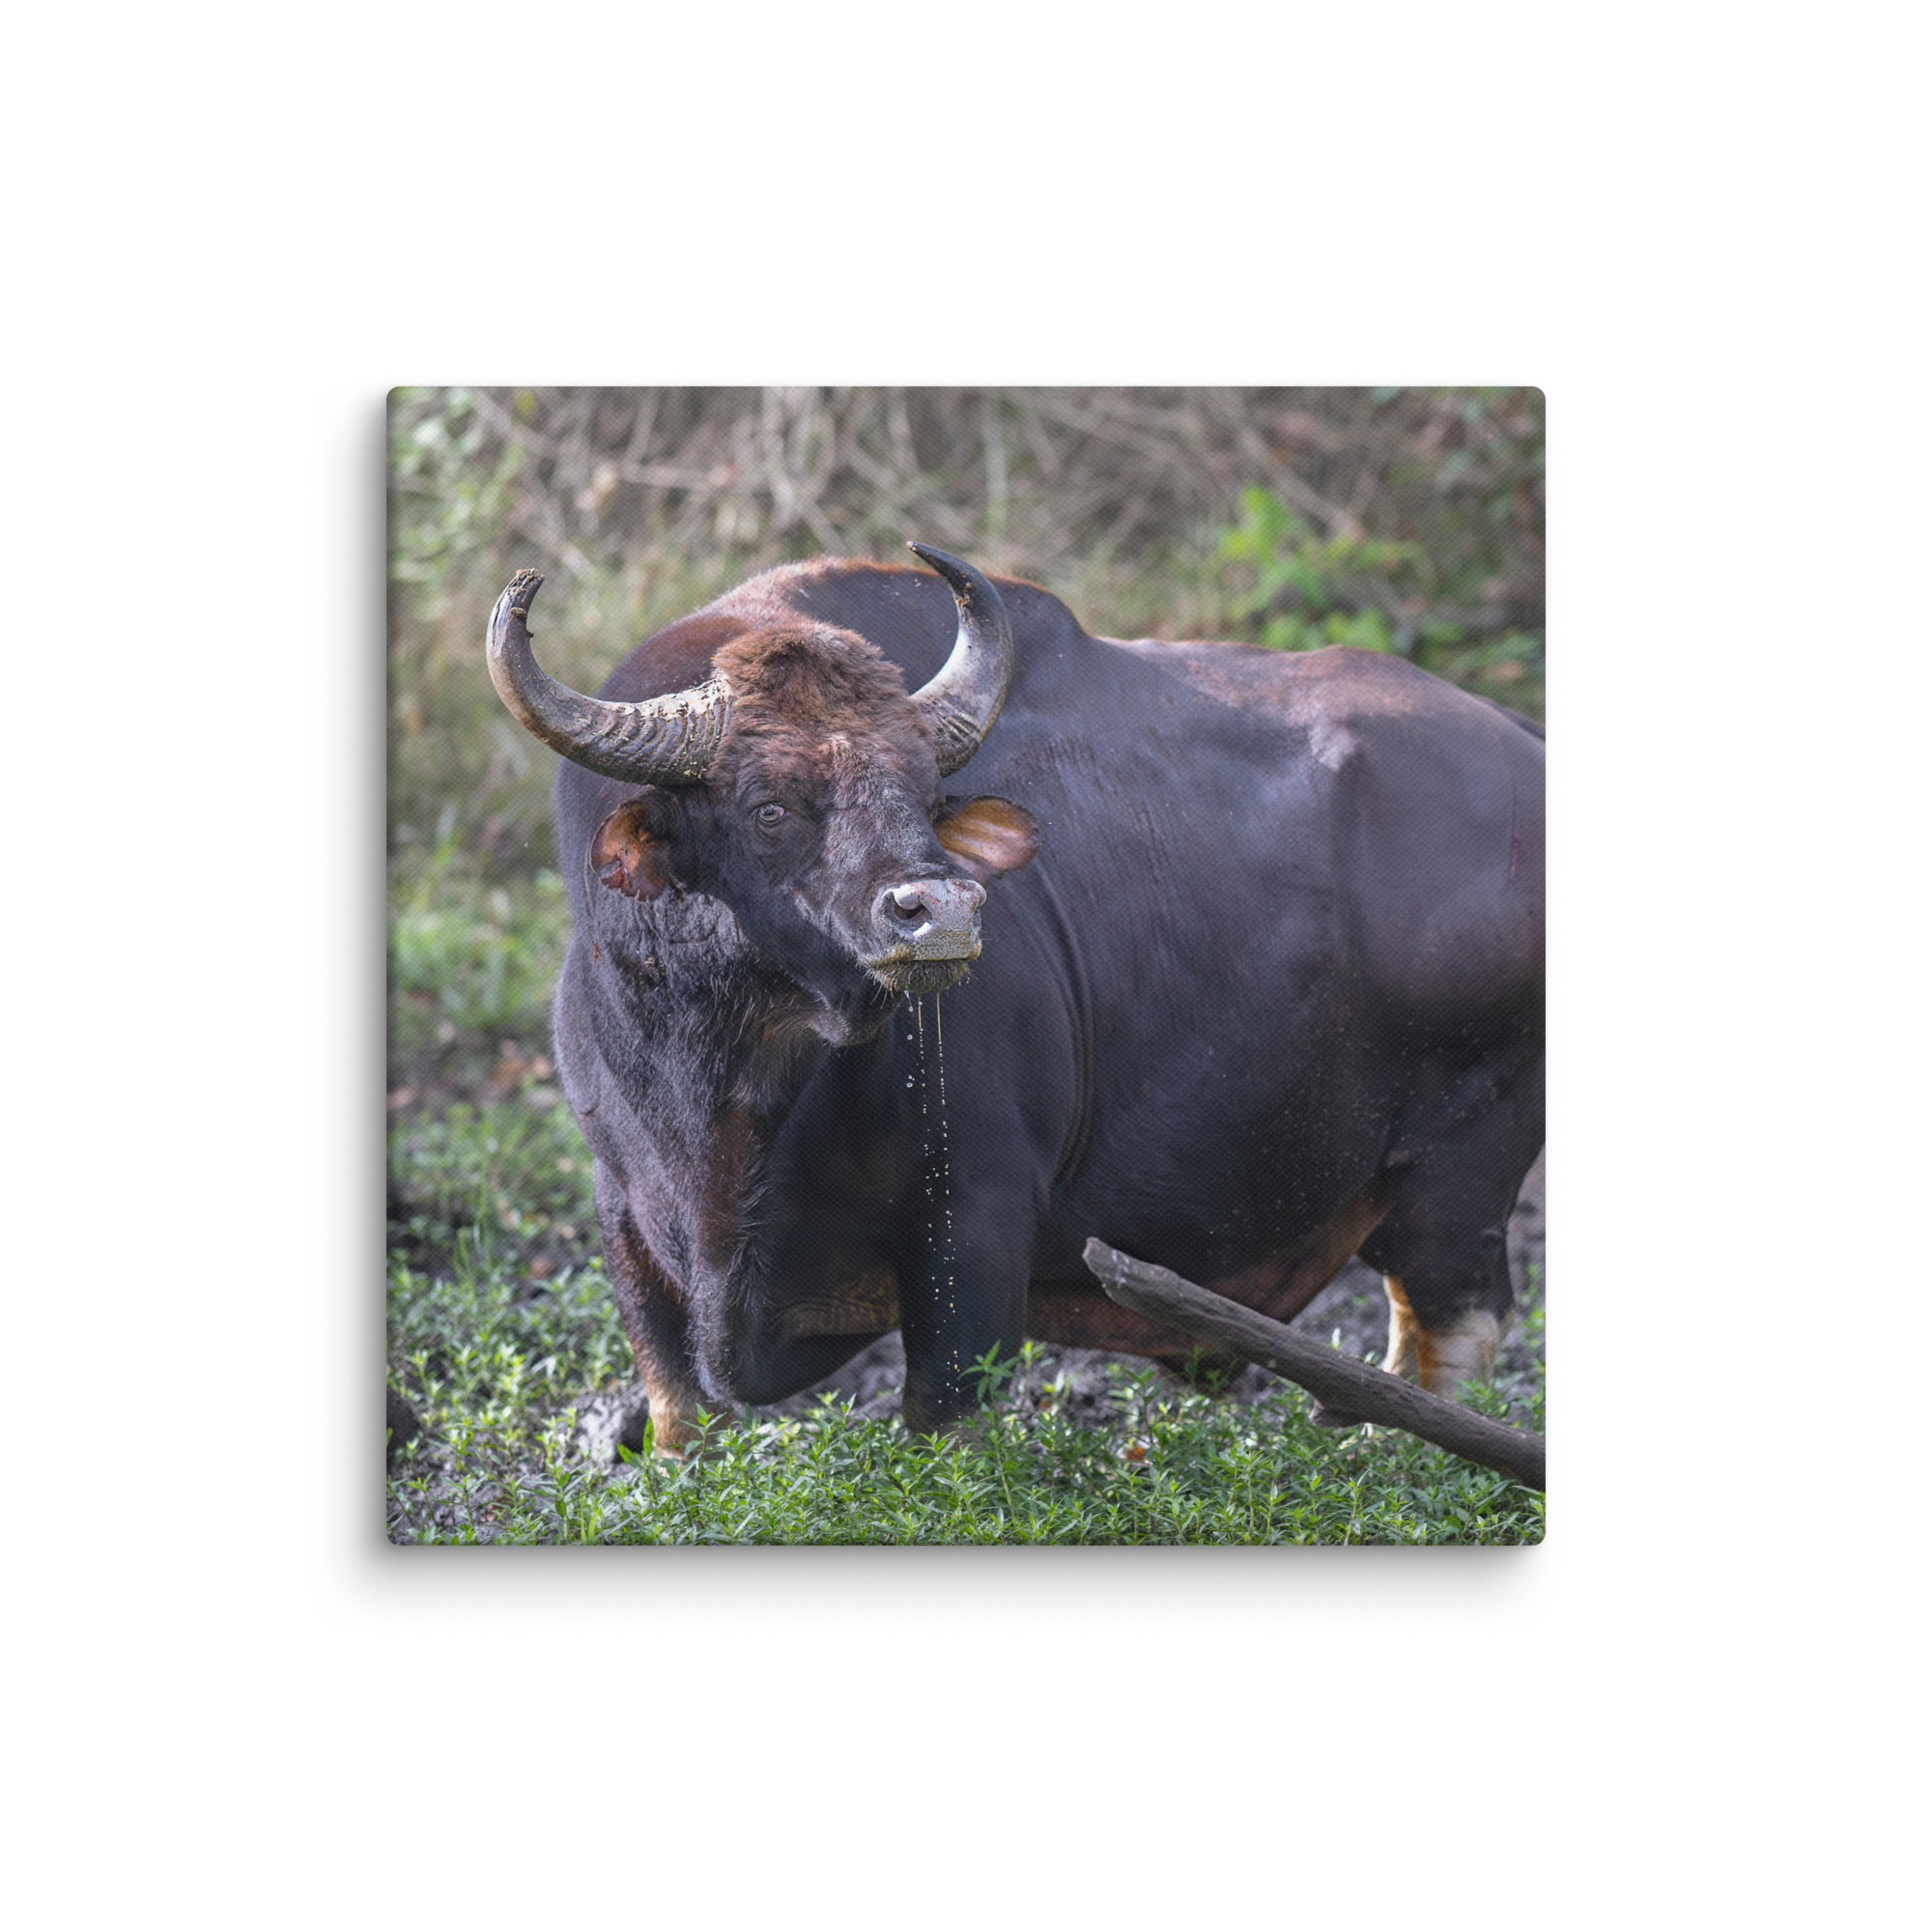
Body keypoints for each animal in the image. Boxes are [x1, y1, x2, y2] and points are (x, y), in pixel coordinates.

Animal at [485, 546, 1543, 1449]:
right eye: (770, 806)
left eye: (923, 794)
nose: (941, 911)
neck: (732, 1090)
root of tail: (1523, 751)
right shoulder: (625, 1219)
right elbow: (677, 1414)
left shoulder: (975, 1226)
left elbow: (944, 1424)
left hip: (1465, 1167)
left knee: (1456, 1324)